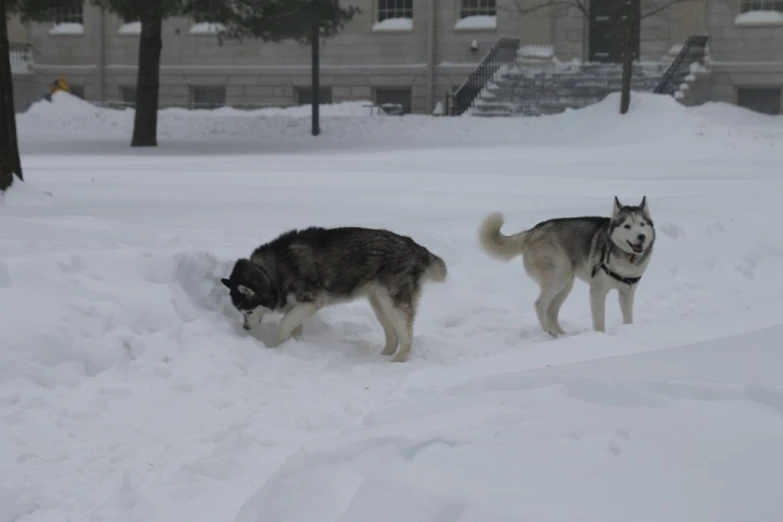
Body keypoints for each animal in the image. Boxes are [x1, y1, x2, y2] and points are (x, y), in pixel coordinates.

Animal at [220, 223, 448, 362]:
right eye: (241, 312)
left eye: (248, 311)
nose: (246, 328)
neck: (270, 272)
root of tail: (415, 246)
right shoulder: (298, 306)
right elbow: (294, 328)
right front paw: (293, 347)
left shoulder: (313, 301)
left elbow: (284, 323)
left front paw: (276, 348)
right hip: (378, 302)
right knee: (393, 335)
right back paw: (382, 356)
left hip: (392, 301)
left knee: (406, 334)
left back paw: (398, 360)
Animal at [478, 197, 656, 336]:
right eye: (627, 226)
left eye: (642, 224)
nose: (641, 236)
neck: (626, 258)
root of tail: (532, 231)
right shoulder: (597, 291)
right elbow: (599, 320)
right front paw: (601, 337)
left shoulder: (627, 291)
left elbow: (628, 317)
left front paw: (629, 331)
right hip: (558, 276)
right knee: (540, 305)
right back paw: (549, 331)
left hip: (566, 283)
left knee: (551, 311)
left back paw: (561, 335)